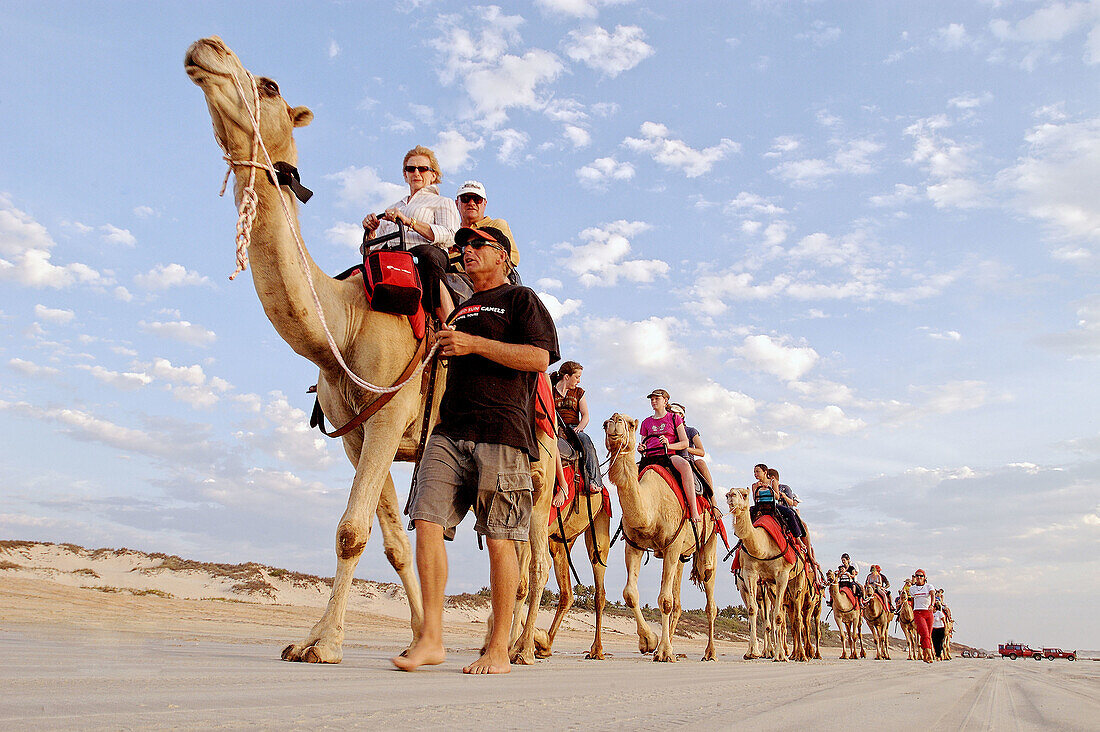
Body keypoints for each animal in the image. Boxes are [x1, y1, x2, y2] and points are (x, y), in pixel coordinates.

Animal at [187, 39, 558, 664]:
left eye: (269, 85)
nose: (205, 48)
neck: (344, 324)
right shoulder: (355, 433)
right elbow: (388, 541)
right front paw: (345, 638)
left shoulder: (390, 411)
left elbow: (350, 531)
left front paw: (328, 645)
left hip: (543, 468)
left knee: (532, 558)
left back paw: (524, 649)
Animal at [602, 413, 721, 660]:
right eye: (606, 422)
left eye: (631, 424)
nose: (613, 420)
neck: (651, 506)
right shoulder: (634, 545)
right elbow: (630, 593)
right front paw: (649, 642)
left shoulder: (671, 546)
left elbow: (664, 600)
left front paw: (664, 652)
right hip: (683, 556)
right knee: (678, 602)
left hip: (709, 540)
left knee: (709, 596)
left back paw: (710, 652)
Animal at [726, 488, 805, 660]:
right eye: (728, 493)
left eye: (744, 494)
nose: (731, 496)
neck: (763, 548)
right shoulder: (750, 575)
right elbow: (752, 611)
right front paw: (752, 652)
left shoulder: (782, 575)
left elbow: (777, 616)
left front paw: (780, 654)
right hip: (768, 586)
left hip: (796, 579)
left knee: (797, 617)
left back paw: (800, 654)